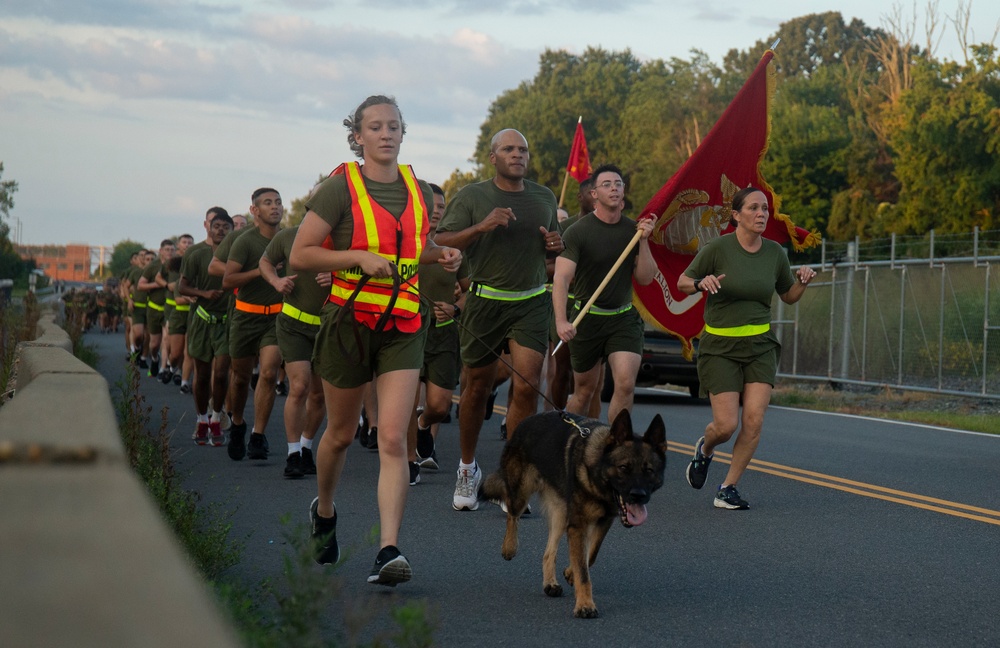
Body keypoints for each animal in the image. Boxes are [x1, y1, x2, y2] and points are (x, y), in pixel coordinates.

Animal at [482, 410, 668, 616]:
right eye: (623, 468)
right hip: (521, 495)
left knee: (549, 552)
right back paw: (509, 547)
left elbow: (590, 555)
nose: (638, 495)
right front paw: (585, 604)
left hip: (561, 515)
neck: (596, 471)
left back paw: (550, 583)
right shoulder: (578, 525)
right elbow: (583, 570)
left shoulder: (602, 523)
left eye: (649, 470)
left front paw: (571, 573)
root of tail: (530, 418)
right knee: (512, 515)